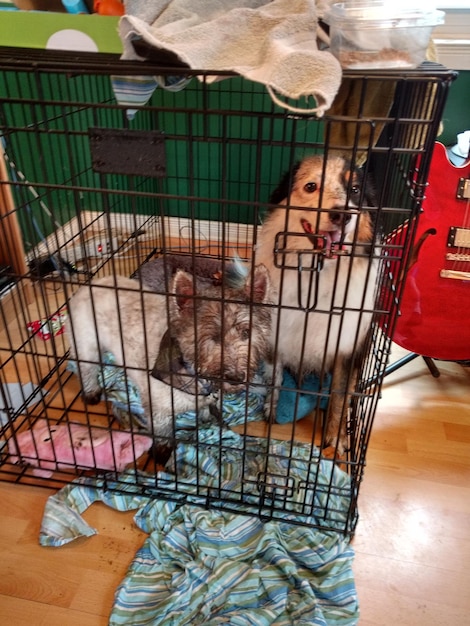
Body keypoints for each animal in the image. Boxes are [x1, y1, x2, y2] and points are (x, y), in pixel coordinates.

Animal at [66, 264, 272, 444]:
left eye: (246, 333)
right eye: (212, 337)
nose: (236, 378)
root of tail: (90, 285)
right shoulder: (159, 413)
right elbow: (164, 435)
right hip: (86, 343)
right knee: (86, 368)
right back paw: (91, 391)